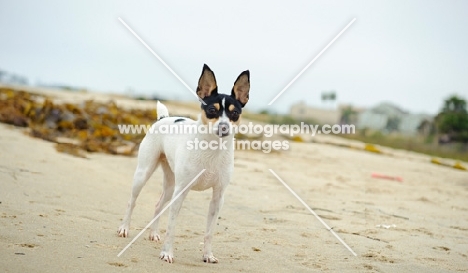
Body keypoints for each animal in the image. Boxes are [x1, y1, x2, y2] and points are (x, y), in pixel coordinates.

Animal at [118, 63, 249, 262]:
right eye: (212, 110)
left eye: (234, 113)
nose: (224, 127)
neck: (213, 148)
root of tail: (163, 118)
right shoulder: (181, 192)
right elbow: (172, 226)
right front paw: (167, 253)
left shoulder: (218, 197)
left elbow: (209, 232)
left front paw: (208, 255)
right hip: (144, 174)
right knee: (131, 202)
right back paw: (124, 228)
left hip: (171, 184)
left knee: (158, 205)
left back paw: (153, 234)